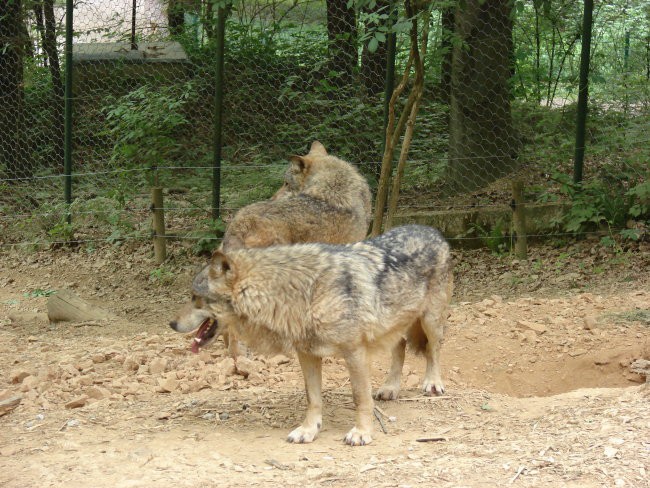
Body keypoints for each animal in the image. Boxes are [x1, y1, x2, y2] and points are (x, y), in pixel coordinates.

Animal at [170, 225, 454, 446]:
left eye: (195, 298)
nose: (171, 323)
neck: (301, 294)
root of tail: (432, 230)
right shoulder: (306, 354)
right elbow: (313, 398)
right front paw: (309, 430)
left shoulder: (355, 352)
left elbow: (359, 397)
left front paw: (361, 432)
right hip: (395, 325)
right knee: (401, 348)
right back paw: (390, 387)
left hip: (429, 321)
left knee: (434, 350)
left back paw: (433, 383)